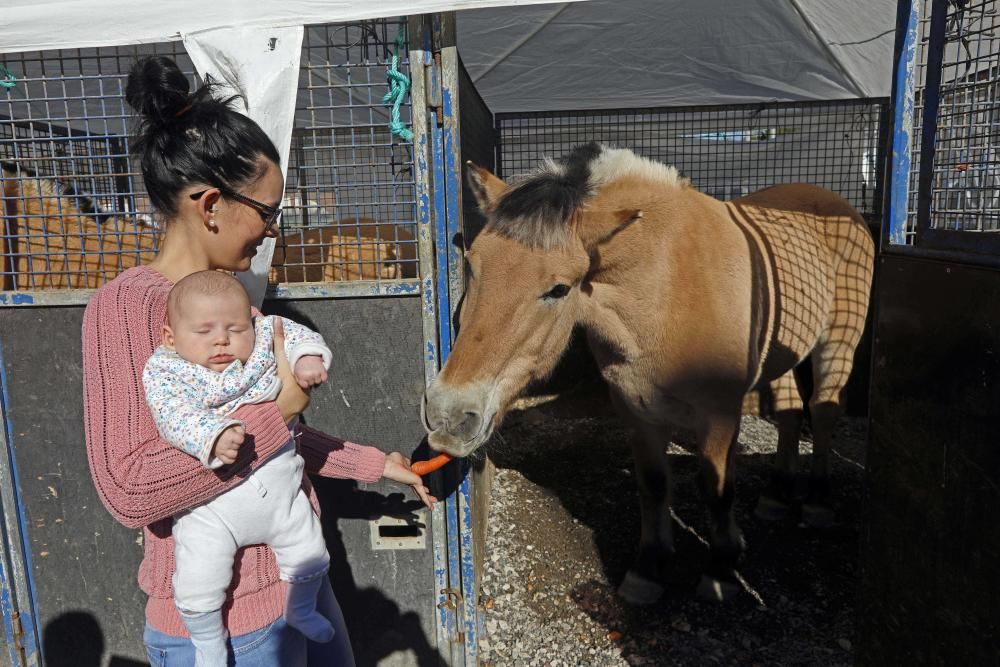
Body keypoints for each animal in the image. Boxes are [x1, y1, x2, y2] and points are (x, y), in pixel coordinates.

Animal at [422, 144, 876, 604]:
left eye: (559, 289)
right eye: (473, 266)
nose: (448, 413)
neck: (666, 284)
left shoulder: (719, 416)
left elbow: (716, 490)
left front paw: (721, 570)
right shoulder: (635, 408)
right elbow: (654, 484)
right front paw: (649, 569)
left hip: (837, 343)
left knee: (822, 409)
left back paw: (817, 501)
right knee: (790, 411)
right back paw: (776, 495)